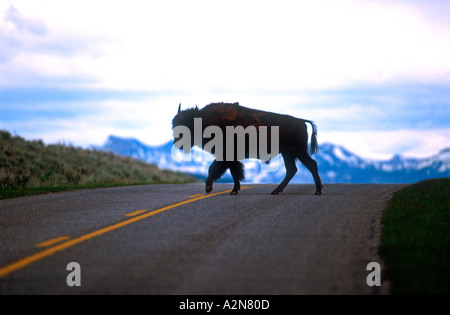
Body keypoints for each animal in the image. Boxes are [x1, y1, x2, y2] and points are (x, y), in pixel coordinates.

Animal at [172, 102, 324, 196]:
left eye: (182, 126)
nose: (176, 143)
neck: (203, 120)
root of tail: (301, 121)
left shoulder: (225, 155)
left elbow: (215, 169)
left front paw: (209, 187)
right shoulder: (230, 158)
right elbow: (234, 172)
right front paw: (234, 190)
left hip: (297, 151)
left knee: (311, 165)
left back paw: (317, 191)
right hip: (288, 153)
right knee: (292, 170)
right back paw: (276, 191)